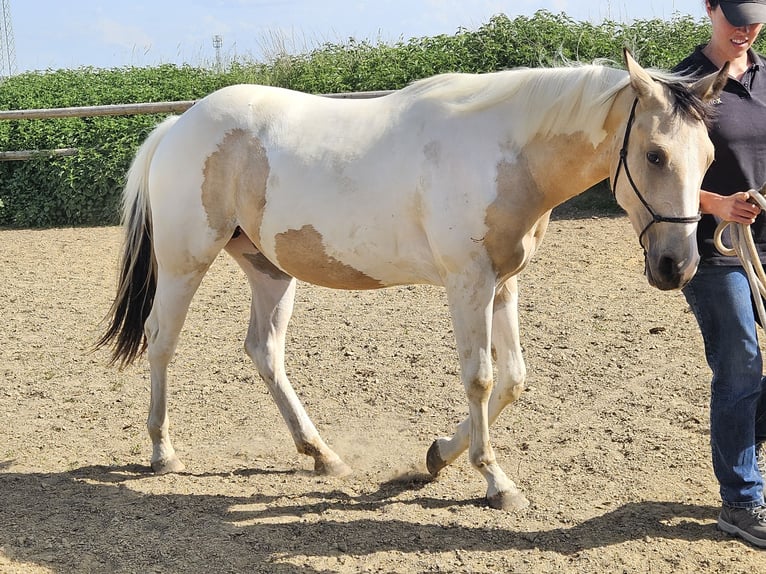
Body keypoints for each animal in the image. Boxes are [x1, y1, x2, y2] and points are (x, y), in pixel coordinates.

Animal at [98, 50, 727, 510]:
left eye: (709, 156)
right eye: (654, 154)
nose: (677, 266)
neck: (503, 152)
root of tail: (178, 124)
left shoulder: (504, 283)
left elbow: (514, 379)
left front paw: (438, 457)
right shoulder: (467, 282)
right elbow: (480, 378)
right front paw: (495, 482)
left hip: (269, 269)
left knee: (264, 351)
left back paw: (321, 453)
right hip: (184, 261)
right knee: (161, 340)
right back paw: (163, 452)